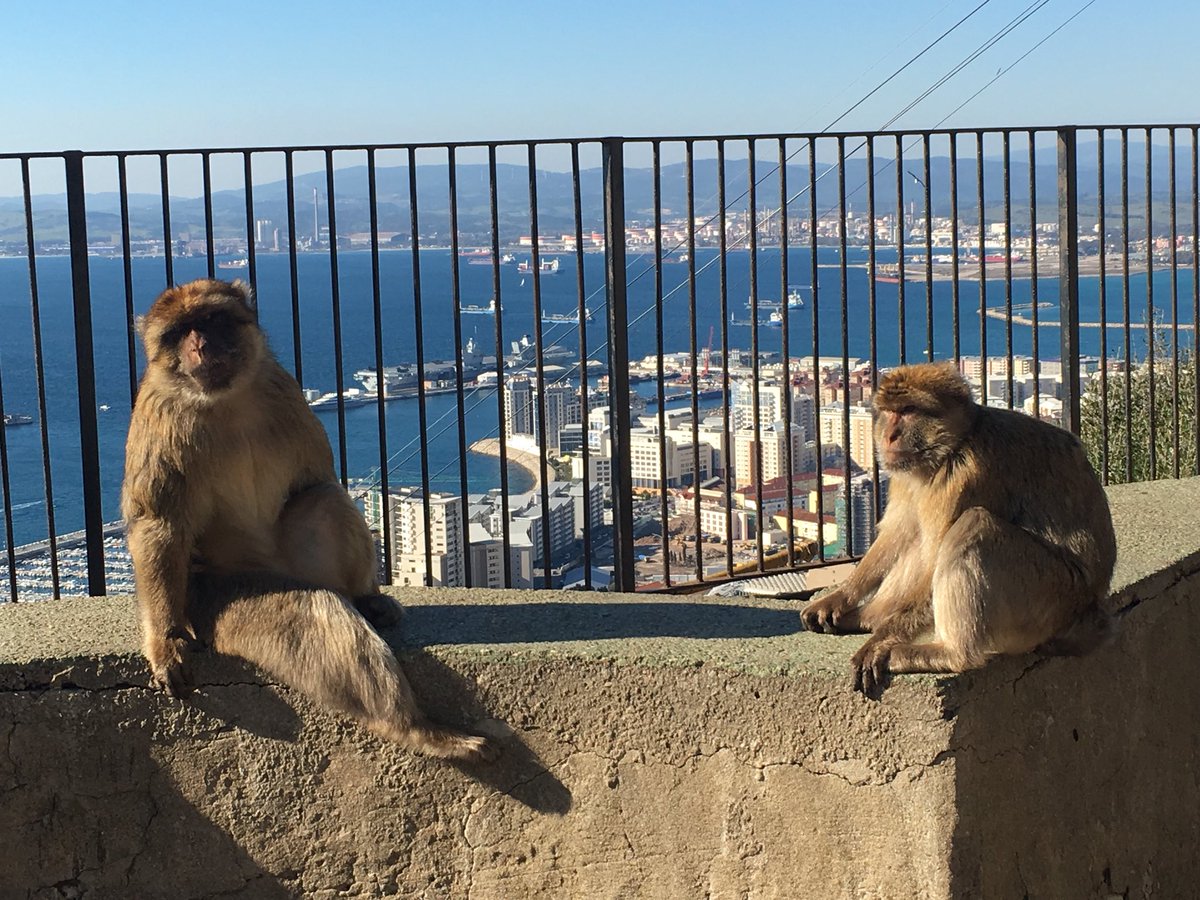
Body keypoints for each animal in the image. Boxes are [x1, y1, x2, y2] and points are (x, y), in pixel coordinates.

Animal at [121, 278, 493, 761]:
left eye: (212, 320)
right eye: (179, 332)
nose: (200, 346)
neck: (225, 402)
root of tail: (277, 572)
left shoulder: (283, 390)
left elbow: (316, 478)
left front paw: (371, 592)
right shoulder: (160, 418)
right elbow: (159, 525)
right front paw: (166, 644)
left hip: (301, 563)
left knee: (325, 500)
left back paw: (364, 599)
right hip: (224, 592)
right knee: (316, 617)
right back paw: (416, 729)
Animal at [800, 361, 1117, 695]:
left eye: (909, 410)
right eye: (888, 411)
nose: (889, 436)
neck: (952, 447)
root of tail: (1090, 613)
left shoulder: (968, 475)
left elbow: (935, 558)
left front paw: (881, 641)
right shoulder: (903, 472)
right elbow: (897, 532)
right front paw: (840, 598)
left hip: (1049, 597)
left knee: (973, 525)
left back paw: (950, 654)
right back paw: (871, 616)